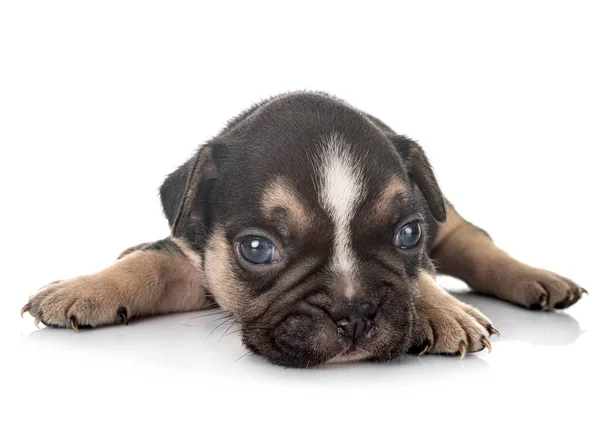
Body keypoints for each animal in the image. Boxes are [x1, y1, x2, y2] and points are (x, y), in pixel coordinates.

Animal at [21, 93, 588, 368]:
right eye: (256, 249)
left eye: (408, 234)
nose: (354, 312)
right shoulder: (199, 257)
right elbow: (151, 262)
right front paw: (83, 288)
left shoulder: (426, 236)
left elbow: (421, 275)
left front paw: (444, 311)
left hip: (449, 217)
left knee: (477, 243)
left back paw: (540, 279)